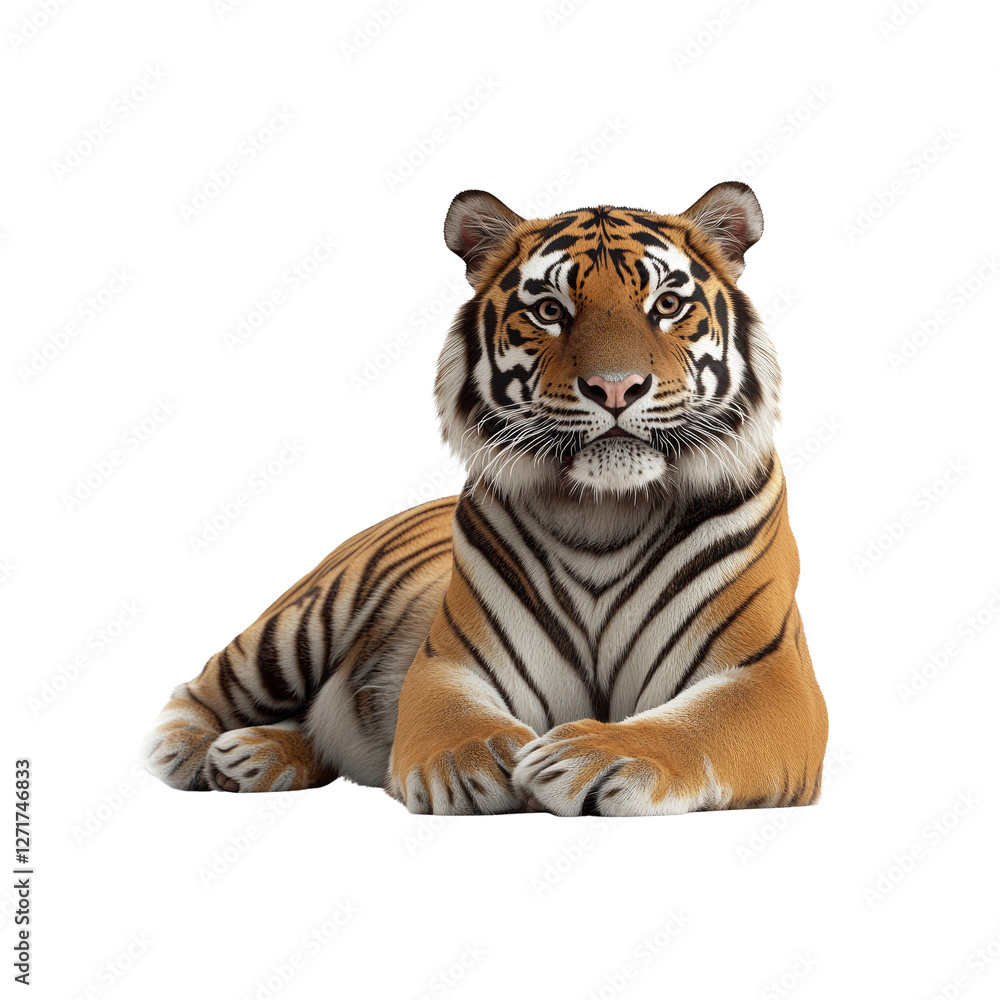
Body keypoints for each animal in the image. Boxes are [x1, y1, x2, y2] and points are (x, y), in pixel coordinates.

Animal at [143, 181, 828, 816]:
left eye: (666, 305)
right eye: (550, 310)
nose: (615, 387)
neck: (607, 512)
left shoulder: (770, 675)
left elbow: (698, 727)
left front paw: (594, 755)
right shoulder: (449, 662)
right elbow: (449, 717)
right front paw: (472, 763)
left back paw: (255, 756)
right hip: (297, 625)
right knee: (198, 689)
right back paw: (189, 752)